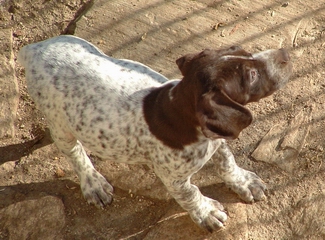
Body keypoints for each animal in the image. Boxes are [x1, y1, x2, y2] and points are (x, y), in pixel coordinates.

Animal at [17, 35, 292, 231]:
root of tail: (34, 49)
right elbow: (191, 194)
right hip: (60, 123)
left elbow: (227, 164)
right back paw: (93, 183)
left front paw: (243, 182)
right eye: (251, 75)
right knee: (75, 153)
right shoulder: (173, 178)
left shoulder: (218, 139)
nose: (285, 54)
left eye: (246, 52)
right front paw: (206, 212)